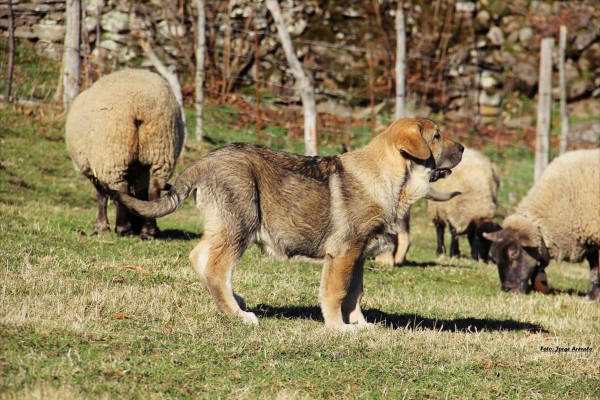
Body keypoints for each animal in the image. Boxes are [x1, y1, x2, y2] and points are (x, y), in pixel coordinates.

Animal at [64, 69, 184, 239]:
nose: (137, 225)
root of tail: (139, 105)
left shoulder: (93, 169)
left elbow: (102, 195)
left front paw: (101, 226)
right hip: (161, 148)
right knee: (154, 188)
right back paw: (149, 232)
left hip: (114, 152)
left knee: (120, 188)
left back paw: (123, 228)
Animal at [108, 117, 464, 330]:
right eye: (437, 136)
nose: (463, 148)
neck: (392, 180)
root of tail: (205, 161)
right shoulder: (343, 253)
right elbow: (336, 293)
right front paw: (338, 328)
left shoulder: (359, 256)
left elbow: (355, 293)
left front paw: (360, 325)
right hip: (240, 225)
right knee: (216, 269)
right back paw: (238, 314)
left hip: (224, 225)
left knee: (200, 257)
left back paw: (234, 303)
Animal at [482, 148, 600, 298]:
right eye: (494, 257)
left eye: (514, 255)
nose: (508, 289)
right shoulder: (590, 236)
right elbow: (594, 267)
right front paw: (593, 295)